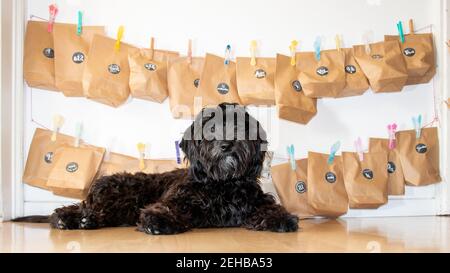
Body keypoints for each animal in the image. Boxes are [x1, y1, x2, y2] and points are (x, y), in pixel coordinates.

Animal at [20, 103, 298, 233]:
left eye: (240, 124)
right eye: (210, 126)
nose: (227, 144)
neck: (222, 184)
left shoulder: (254, 200)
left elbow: (269, 208)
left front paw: (280, 218)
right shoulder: (180, 200)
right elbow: (166, 208)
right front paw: (159, 219)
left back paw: (85, 221)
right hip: (120, 196)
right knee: (79, 208)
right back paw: (68, 218)